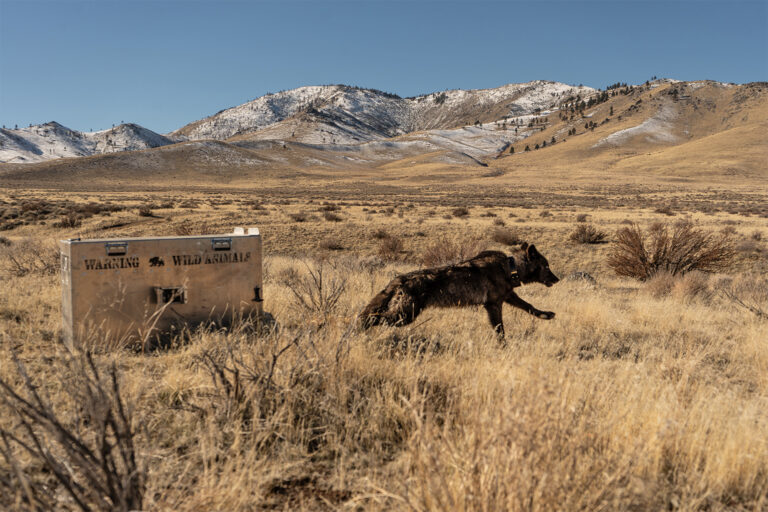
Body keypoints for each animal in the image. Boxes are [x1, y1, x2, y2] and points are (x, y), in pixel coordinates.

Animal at [359, 243, 559, 338]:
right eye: (547, 266)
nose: (557, 279)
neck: (510, 268)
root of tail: (399, 279)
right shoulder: (493, 305)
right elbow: (500, 330)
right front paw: (503, 347)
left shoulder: (508, 296)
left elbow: (529, 306)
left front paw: (546, 315)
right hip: (405, 315)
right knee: (370, 318)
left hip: (403, 314)